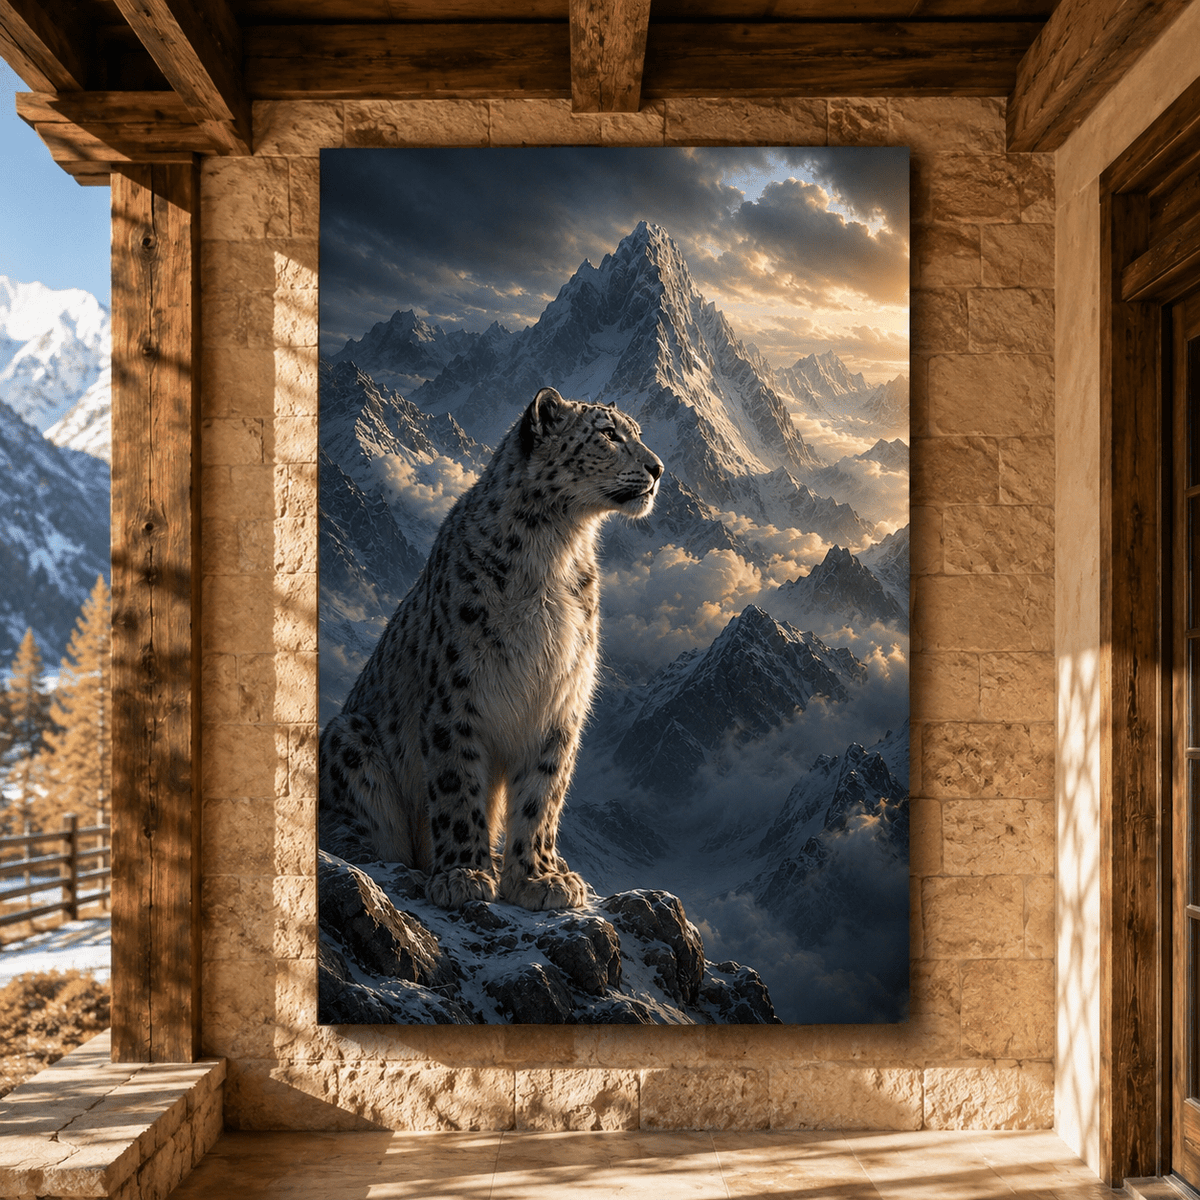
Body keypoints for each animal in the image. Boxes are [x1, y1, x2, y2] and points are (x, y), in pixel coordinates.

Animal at [319, 387, 664, 911]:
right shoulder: (457, 697)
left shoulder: (560, 699)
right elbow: (458, 786)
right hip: (347, 736)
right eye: (608, 434)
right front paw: (464, 874)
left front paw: (539, 879)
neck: (555, 550)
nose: (658, 468)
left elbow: (542, 795)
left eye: (637, 433)